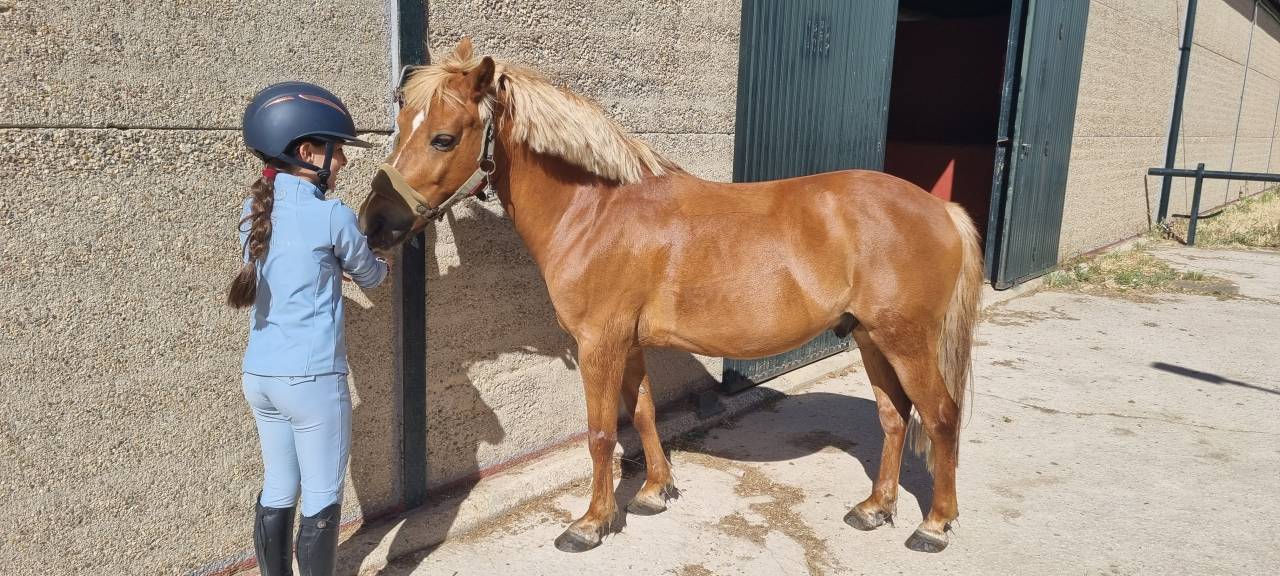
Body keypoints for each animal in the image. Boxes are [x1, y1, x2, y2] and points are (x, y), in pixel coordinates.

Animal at [357, 38, 983, 554]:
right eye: (400, 126)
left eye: (443, 137)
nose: (374, 223)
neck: (596, 213)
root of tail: (939, 207)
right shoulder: (628, 343)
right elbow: (644, 411)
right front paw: (654, 492)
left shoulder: (598, 344)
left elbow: (601, 432)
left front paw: (591, 523)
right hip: (871, 337)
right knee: (895, 417)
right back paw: (874, 508)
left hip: (906, 340)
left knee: (940, 416)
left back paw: (934, 525)